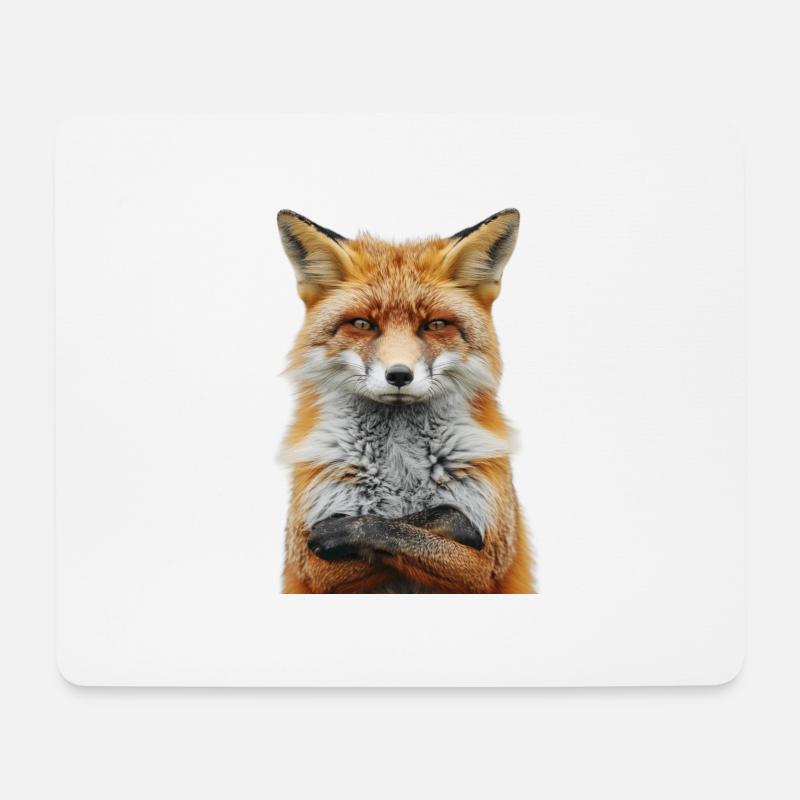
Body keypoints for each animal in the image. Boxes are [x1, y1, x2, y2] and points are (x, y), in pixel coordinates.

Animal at [277, 208, 533, 593]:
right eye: (362, 324)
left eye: (435, 324)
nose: (399, 375)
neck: (399, 466)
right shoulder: (311, 565)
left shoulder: (490, 560)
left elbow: (410, 529)